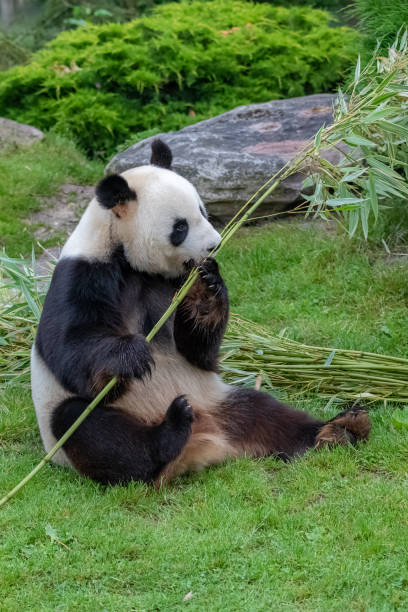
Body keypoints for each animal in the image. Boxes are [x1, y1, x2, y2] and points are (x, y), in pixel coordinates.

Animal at [30, 140, 372, 488]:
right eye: (180, 227)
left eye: (203, 211)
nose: (214, 246)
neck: (129, 257)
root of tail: (201, 444)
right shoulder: (84, 272)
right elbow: (70, 348)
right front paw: (131, 354)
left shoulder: (175, 282)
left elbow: (199, 352)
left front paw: (208, 290)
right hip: (79, 425)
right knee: (91, 430)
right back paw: (169, 432)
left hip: (217, 400)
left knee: (264, 412)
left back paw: (338, 429)